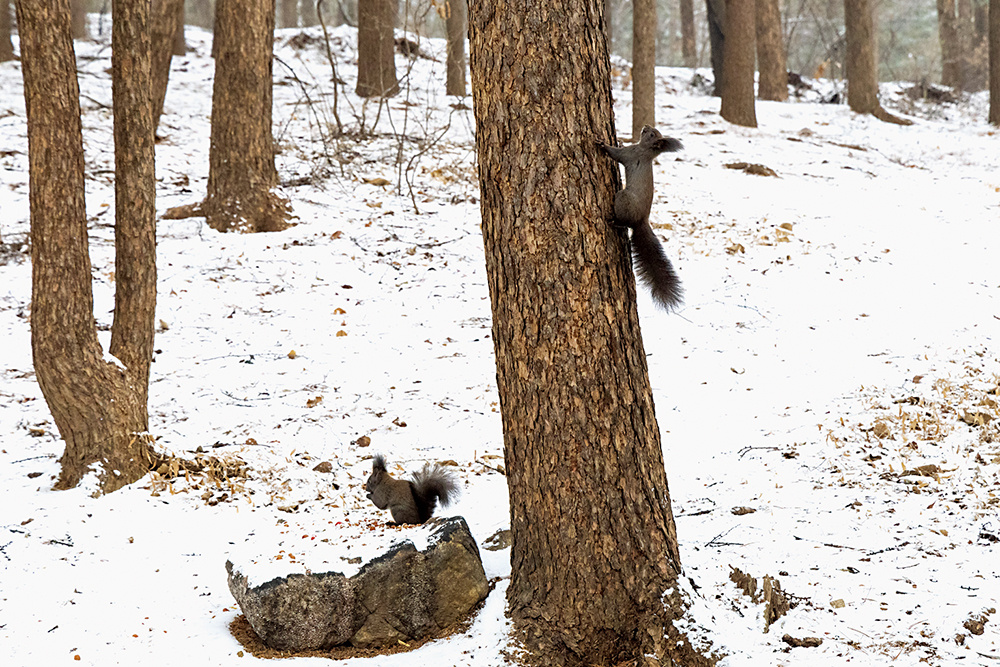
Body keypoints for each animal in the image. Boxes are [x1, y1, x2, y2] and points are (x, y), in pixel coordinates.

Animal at [596, 125, 684, 310]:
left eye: (651, 134)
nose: (646, 126)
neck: (645, 150)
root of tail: (641, 221)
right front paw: (620, 140)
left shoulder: (630, 154)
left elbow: (615, 154)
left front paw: (602, 144)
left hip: (623, 198)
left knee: (624, 223)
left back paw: (614, 221)